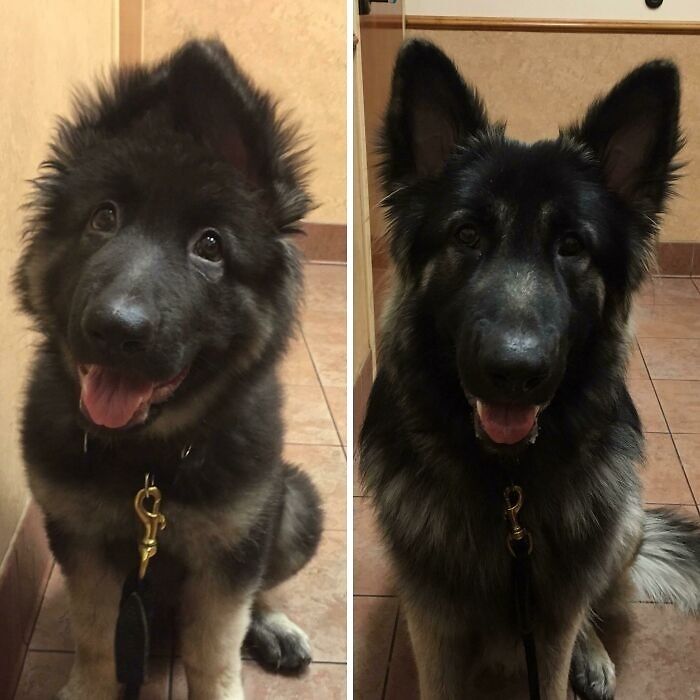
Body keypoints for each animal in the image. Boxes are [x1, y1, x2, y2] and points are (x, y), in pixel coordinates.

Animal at [16, 39, 322, 700]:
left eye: (210, 246)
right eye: (103, 218)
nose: (115, 329)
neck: (149, 461)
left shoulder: (229, 551)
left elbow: (215, 648)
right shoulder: (81, 543)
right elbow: (96, 639)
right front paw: (89, 686)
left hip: (294, 506)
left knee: (262, 587)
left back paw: (273, 625)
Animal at [360, 39, 700, 700]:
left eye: (572, 246)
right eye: (467, 234)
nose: (514, 371)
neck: (507, 489)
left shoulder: (552, 619)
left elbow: (565, 642)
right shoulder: (433, 625)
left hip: (622, 525)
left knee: (593, 603)